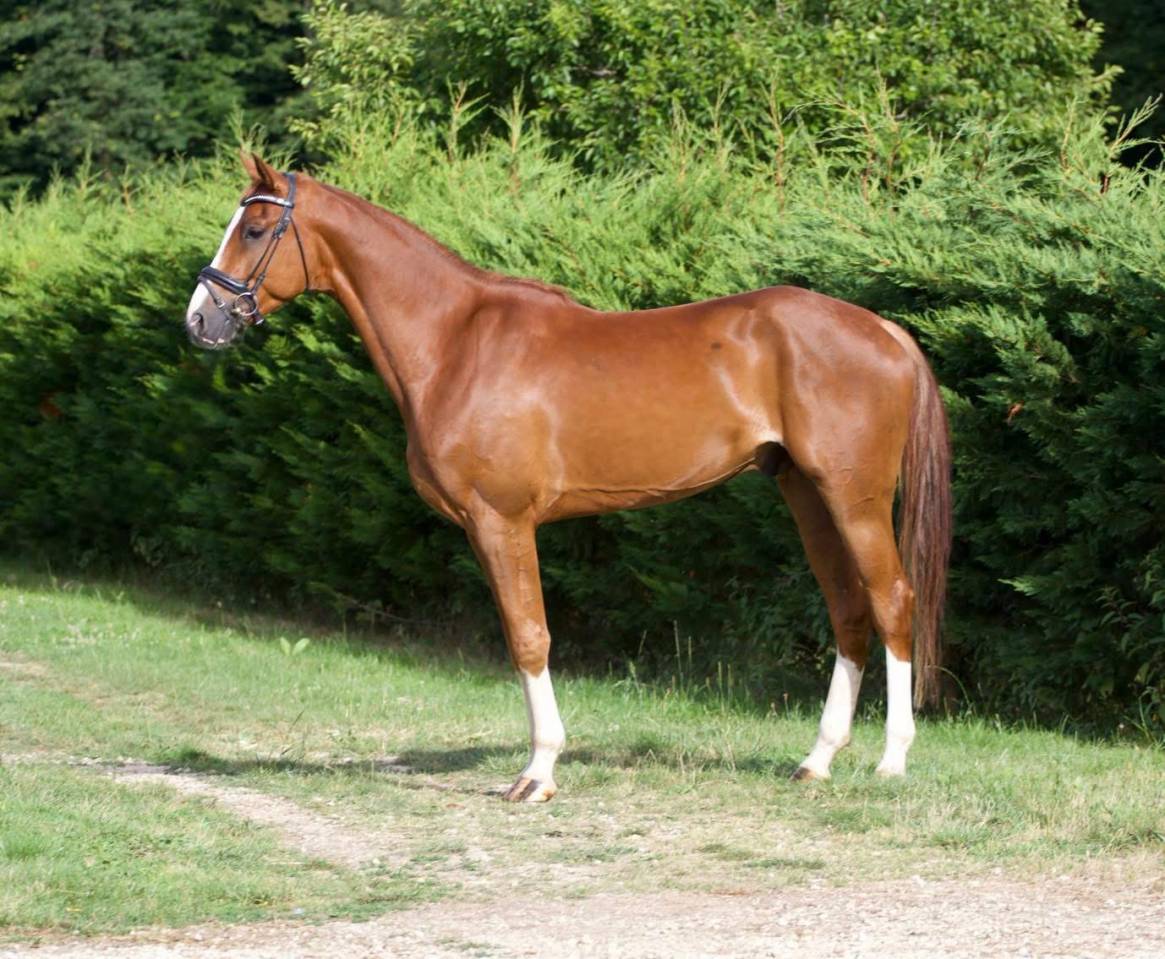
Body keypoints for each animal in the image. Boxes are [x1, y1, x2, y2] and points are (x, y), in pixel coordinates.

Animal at [185, 153, 952, 802]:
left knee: (891, 600)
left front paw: (538, 772)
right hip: (806, 495)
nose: (200, 321)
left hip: (853, 499)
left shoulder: (501, 521)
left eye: (256, 228)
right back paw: (816, 760)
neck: (455, 342)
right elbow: (520, 635)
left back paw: (891, 760)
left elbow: (530, 635)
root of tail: (884, 329)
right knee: (849, 610)